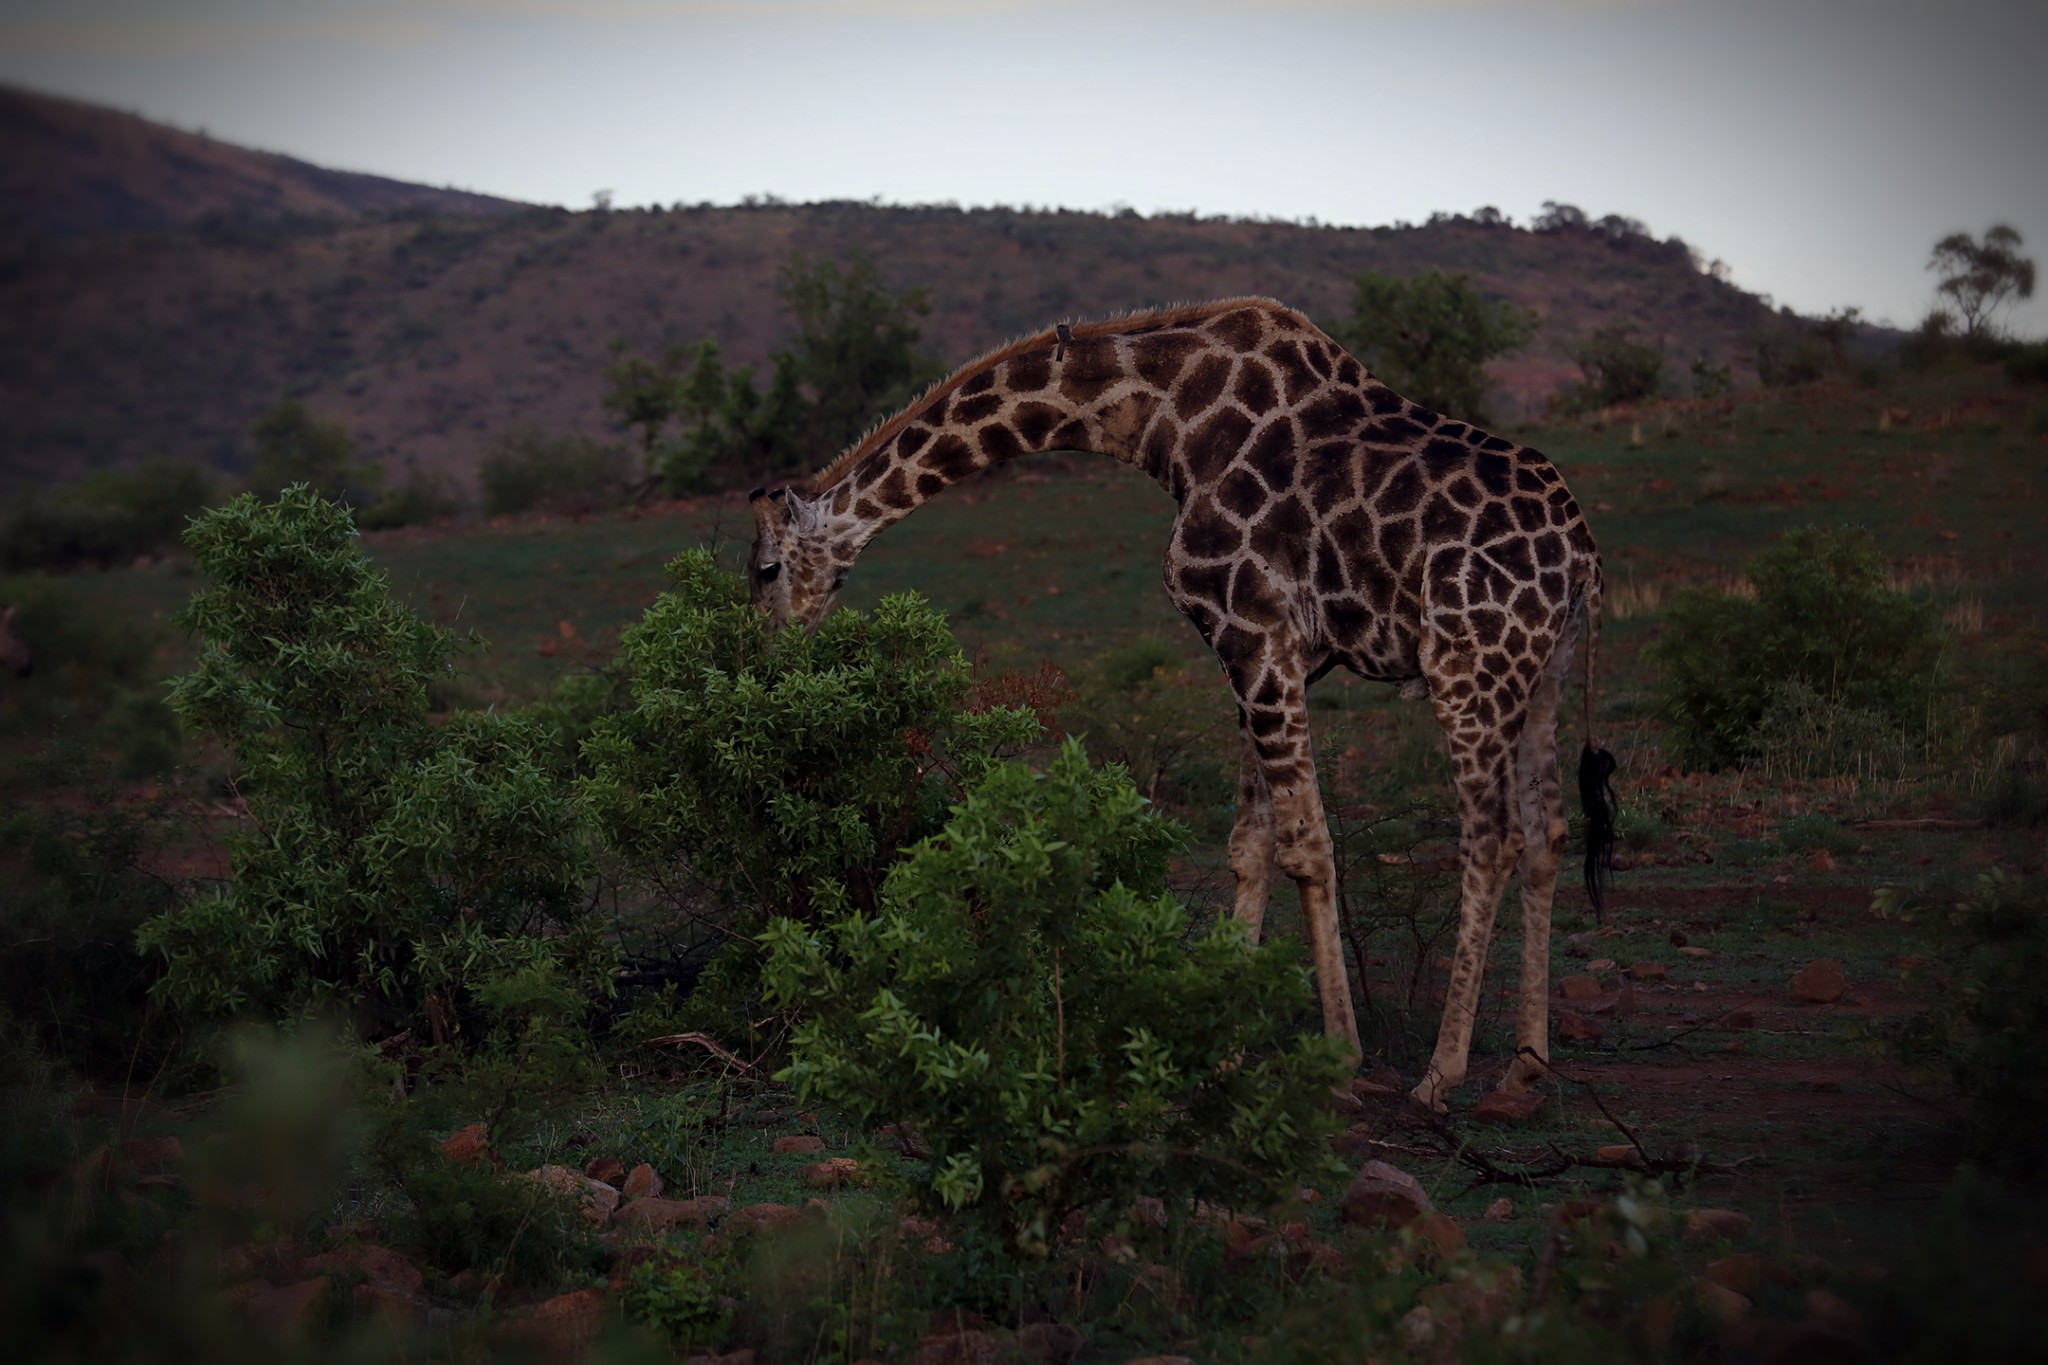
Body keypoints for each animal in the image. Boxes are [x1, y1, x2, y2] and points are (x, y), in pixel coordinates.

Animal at [749, 296, 1613, 1113]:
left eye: (763, 569)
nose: (768, 653)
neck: (1162, 420)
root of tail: (1581, 556)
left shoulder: (1252, 630)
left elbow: (1305, 843)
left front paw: (1339, 1061)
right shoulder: (1271, 651)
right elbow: (1250, 841)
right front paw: (1222, 1050)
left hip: (1469, 663)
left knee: (1491, 837)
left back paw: (1440, 1073)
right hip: (1543, 670)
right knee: (1547, 829)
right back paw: (1526, 1063)